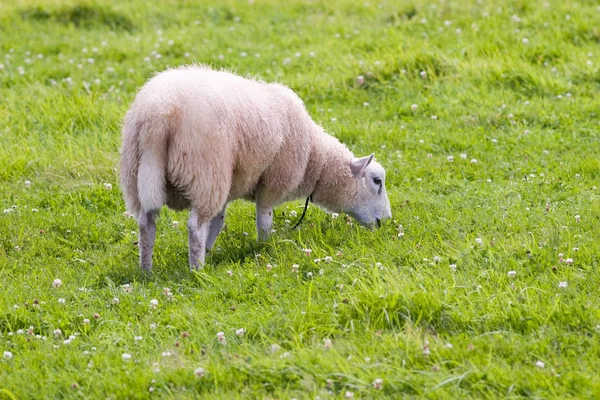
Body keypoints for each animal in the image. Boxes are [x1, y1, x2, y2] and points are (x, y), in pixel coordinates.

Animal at [120, 65, 394, 272]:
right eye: (377, 181)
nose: (387, 221)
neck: (314, 159)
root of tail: (159, 114)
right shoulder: (272, 182)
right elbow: (264, 219)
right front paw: (264, 248)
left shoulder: (229, 186)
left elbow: (218, 221)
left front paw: (210, 250)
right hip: (205, 172)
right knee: (195, 226)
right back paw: (197, 269)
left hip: (140, 172)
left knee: (146, 223)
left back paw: (146, 270)